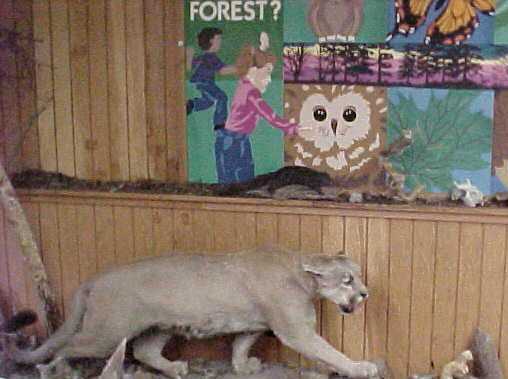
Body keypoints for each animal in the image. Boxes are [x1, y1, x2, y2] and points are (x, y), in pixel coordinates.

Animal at [7, 248, 378, 378]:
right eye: (348, 279)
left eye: (360, 274)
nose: (366, 292)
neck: (302, 274)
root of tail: (94, 279)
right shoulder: (296, 331)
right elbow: (330, 352)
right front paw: (361, 368)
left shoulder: (252, 324)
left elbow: (240, 344)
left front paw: (243, 366)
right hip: (106, 334)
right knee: (68, 346)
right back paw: (57, 369)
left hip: (159, 326)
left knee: (143, 350)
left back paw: (176, 369)